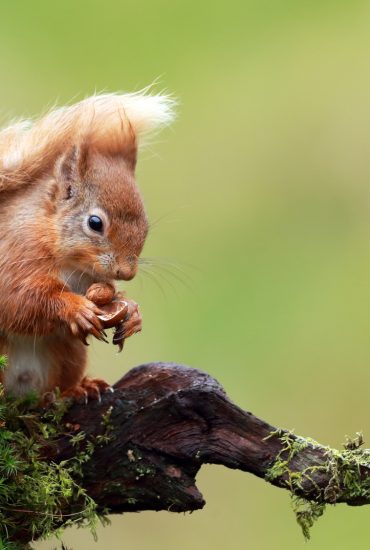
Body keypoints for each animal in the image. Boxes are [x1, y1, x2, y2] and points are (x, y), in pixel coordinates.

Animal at [0, 91, 175, 402]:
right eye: (95, 223)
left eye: (146, 224)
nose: (126, 272)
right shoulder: (14, 255)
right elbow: (18, 301)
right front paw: (74, 308)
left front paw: (132, 311)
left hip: (70, 355)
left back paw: (78, 388)